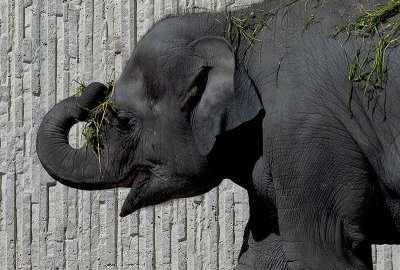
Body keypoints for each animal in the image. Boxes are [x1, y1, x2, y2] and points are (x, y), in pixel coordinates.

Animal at [35, 0, 400, 268]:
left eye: (123, 119)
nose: (96, 87)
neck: (234, 24)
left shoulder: (306, 134)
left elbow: (321, 248)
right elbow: (263, 252)